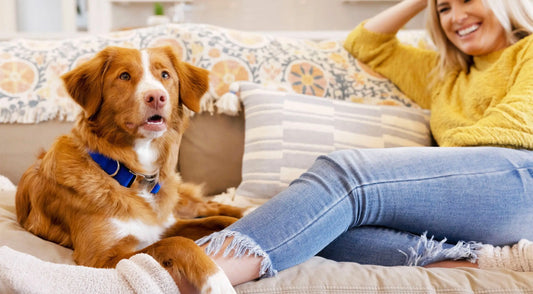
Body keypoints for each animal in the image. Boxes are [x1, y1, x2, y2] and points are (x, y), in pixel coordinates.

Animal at [14, 45, 243, 292]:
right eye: (124, 76)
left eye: (165, 75)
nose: (157, 97)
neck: (132, 176)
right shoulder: (100, 259)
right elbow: (177, 243)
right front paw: (217, 281)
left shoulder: (164, 225)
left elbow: (219, 222)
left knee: (208, 206)